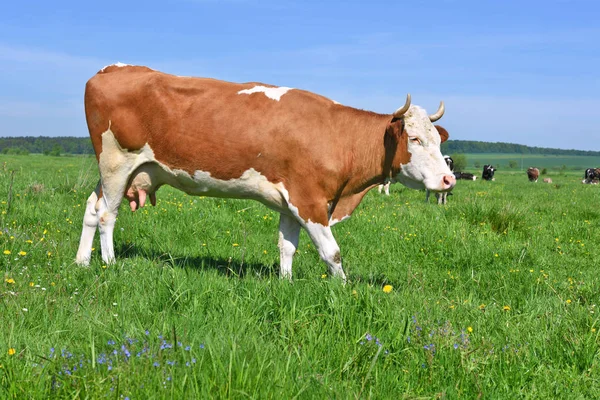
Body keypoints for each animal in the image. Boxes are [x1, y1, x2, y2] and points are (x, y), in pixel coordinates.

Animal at [78, 64, 454, 280]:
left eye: (438, 140)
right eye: (415, 139)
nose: (448, 179)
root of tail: (111, 69)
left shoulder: (292, 201)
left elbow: (287, 247)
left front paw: (285, 284)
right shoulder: (309, 201)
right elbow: (331, 252)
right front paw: (344, 291)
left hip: (116, 170)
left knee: (91, 209)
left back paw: (82, 262)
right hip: (116, 163)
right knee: (107, 214)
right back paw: (110, 264)